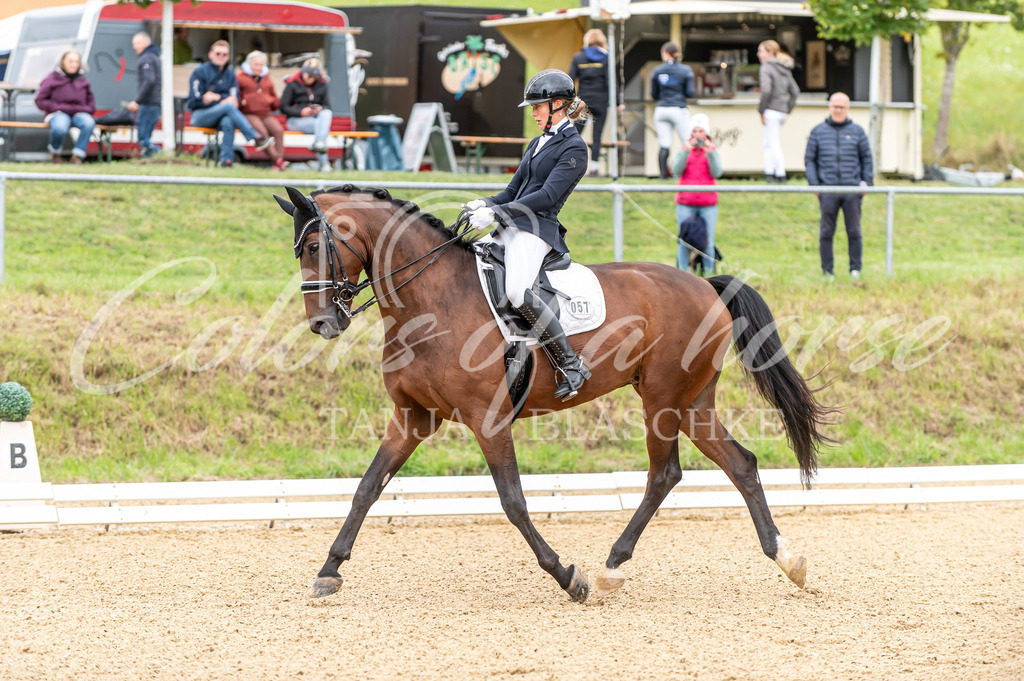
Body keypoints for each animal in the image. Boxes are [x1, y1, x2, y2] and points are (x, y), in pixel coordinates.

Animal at [274, 182, 831, 602]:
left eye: (315, 247)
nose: (322, 324)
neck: (432, 300)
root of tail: (705, 285)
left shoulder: (488, 418)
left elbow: (514, 502)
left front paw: (567, 576)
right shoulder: (412, 416)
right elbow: (368, 487)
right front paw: (329, 570)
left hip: (663, 400)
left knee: (665, 473)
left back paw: (610, 568)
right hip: (691, 402)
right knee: (738, 464)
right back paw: (788, 561)